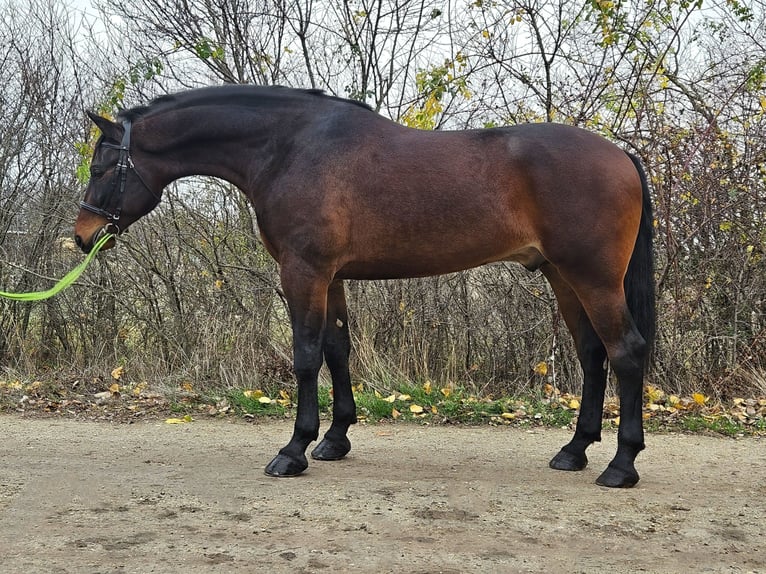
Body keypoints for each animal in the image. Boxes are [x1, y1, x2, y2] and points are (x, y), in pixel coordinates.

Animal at [75, 85, 655, 488]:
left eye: (101, 167)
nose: (82, 237)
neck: (290, 149)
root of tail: (621, 155)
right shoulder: (330, 277)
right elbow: (337, 349)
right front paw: (334, 439)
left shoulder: (303, 272)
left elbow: (306, 355)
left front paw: (293, 450)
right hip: (562, 276)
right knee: (592, 354)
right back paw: (574, 451)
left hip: (593, 279)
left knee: (625, 352)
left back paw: (621, 465)